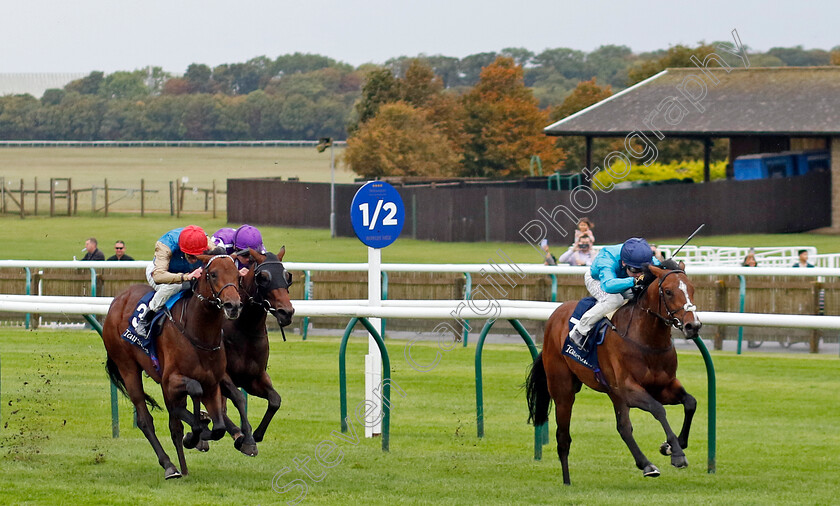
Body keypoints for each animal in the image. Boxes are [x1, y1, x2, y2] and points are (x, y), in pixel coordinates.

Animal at [101, 253, 243, 478]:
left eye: (238, 275)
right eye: (213, 274)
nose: (233, 305)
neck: (199, 334)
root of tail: (117, 300)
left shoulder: (212, 383)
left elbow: (218, 426)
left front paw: (201, 429)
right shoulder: (171, 379)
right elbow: (194, 389)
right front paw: (196, 433)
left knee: (175, 421)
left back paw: (183, 465)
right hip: (128, 367)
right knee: (145, 419)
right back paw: (170, 465)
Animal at [188, 248, 296, 454]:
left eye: (287, 276)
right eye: (263, 277)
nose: (286, 312)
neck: (245, 328)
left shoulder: (253, 377)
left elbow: (275, 400)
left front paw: (257, 435)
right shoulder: (222, 376)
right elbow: (238, 399)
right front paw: (246, 438)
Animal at [524, 260, 704, 486]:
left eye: (692, 289)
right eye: (669, 291)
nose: (693, 326)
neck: (647, 341)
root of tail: (554, 316)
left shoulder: (662, 386)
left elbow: (690, 403)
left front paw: (670, 446)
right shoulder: (629, 389)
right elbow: (658, 409)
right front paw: (677, 454)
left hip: (613, 392)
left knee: (624, 428)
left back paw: (646, 465)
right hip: (563, 389)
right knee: (563, 436)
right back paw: (567, 481)